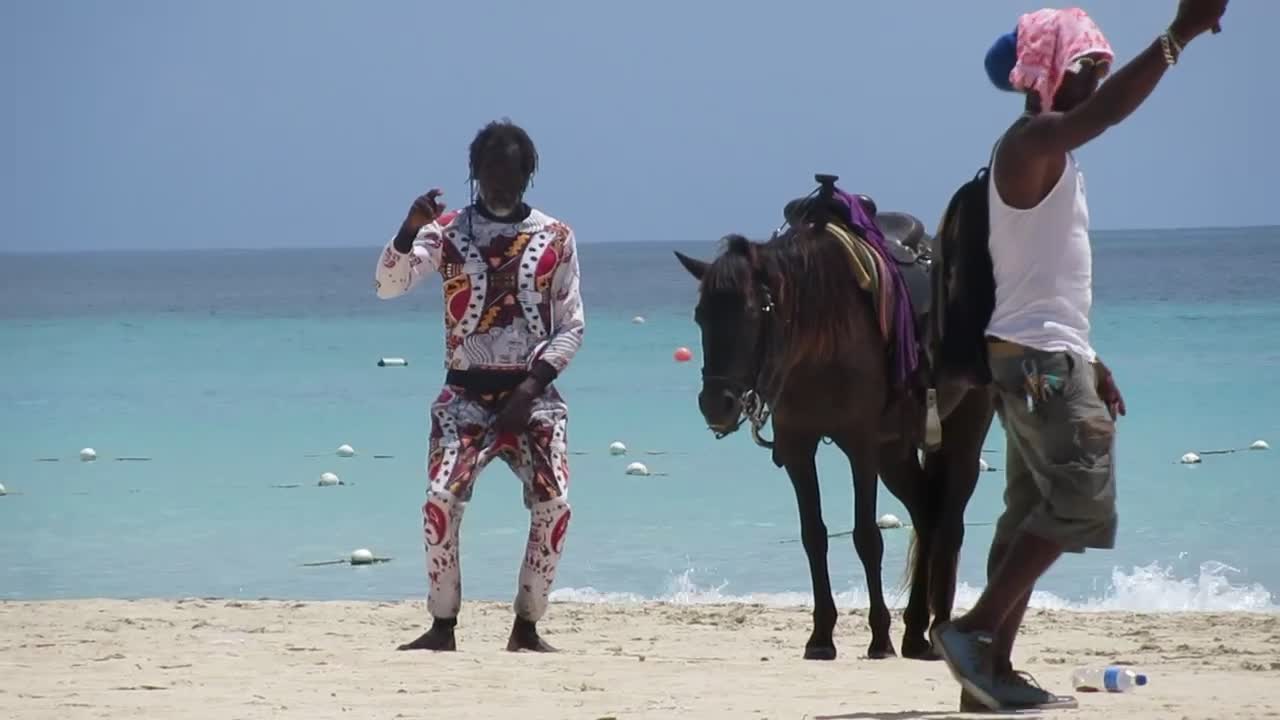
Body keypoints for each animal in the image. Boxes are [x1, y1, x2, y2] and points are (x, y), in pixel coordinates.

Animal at [675, 176, 993, 661]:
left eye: (751, 312)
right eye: (700, 316)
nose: (717, 404)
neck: (820, 337)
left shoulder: (860, 446)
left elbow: (866, 537)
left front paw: (879, 637)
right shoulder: (799, 446)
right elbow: (814, 536)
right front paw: (822, 636)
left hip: (962, 434)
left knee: (950, 522)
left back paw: (936, 630)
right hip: (895, 452)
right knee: (926, 514)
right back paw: (916, 631)